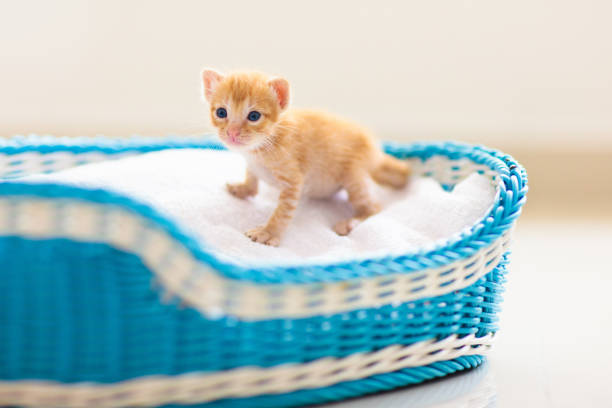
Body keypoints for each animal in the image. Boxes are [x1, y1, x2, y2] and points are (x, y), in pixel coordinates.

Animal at [203, 69, 408, 247]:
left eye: (254, 116)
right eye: (221, 112)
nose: (232, 133)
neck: (262, 146)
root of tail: (376, 150)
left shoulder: (292, 180)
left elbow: (282, 212)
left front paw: (268, 232)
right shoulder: (252, 163)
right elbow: (252, 177)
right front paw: (244, 188)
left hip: (354, 177)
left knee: (374, 208)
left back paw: (350, 222)